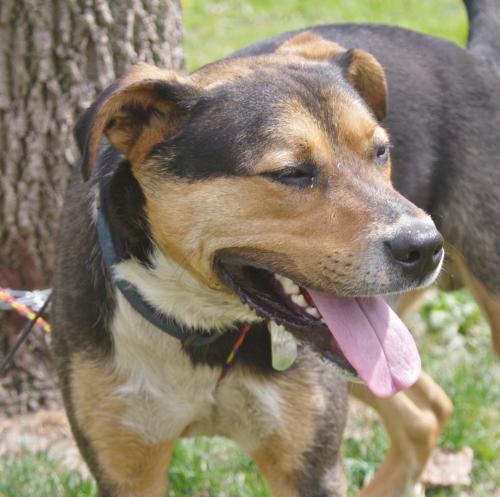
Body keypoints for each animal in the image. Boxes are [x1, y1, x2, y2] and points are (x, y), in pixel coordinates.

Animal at [52, 0, 498, 496]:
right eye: (291, 172)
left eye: (381, 152)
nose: (424, 247)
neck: (202, 329)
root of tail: (474, 58)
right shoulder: (126, 469)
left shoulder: (309, 469)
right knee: (428, 412)